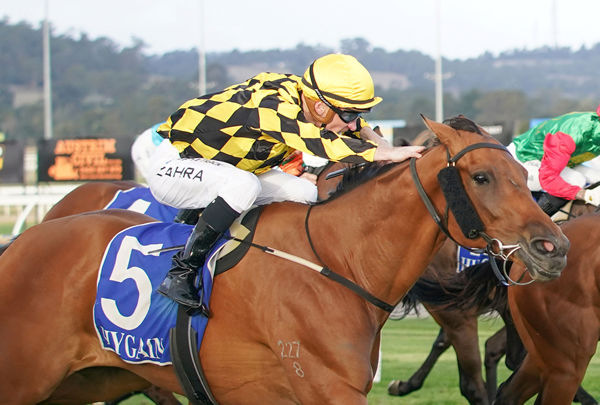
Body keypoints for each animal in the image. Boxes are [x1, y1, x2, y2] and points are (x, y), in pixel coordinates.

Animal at [0, 115, 568, 402]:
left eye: (521, 173)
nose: (553, 247)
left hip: (87, 382)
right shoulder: (328, 389)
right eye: (482, 177)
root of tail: (20, 245)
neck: (337, 259)